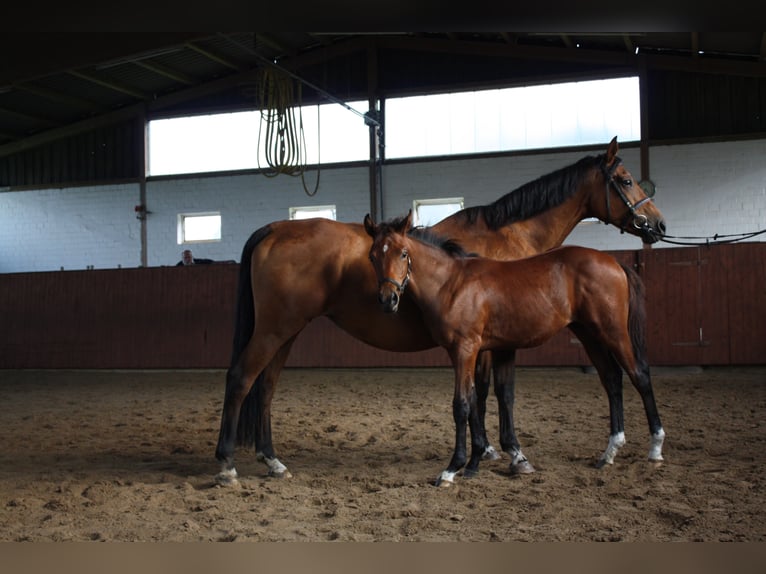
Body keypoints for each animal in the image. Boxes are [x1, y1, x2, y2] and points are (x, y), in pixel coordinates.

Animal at [366, 212, 664, 486]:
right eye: (372, 256)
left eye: (403, 253)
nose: (388, 300)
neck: (452, 283)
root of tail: (614, 262)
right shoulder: (468, 352)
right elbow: (475, 400)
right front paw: (476, 461)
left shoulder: (465, 349)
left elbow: (462, 405)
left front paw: (452, 468)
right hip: (589, 334)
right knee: (612, 379)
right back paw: (610, 451)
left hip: (613, 332)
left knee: (639, 376)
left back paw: (655, 447)